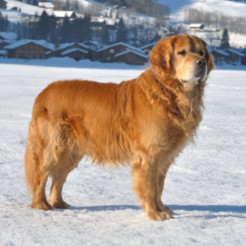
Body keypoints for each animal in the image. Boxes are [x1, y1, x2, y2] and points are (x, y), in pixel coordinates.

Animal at [24, 34, 214, 221]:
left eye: (201, 52)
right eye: (182, 52)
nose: (202, 62)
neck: (169, 93)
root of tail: (44, 92)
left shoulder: (164, 157)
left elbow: (159, 186)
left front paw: (161, 208)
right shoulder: (150, 155)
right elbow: (151, 188)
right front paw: (154, 213)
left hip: (72, 152)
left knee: (58, 177)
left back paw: (59, 203)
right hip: (53, 146)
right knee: (41, 174)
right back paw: (40, 204)